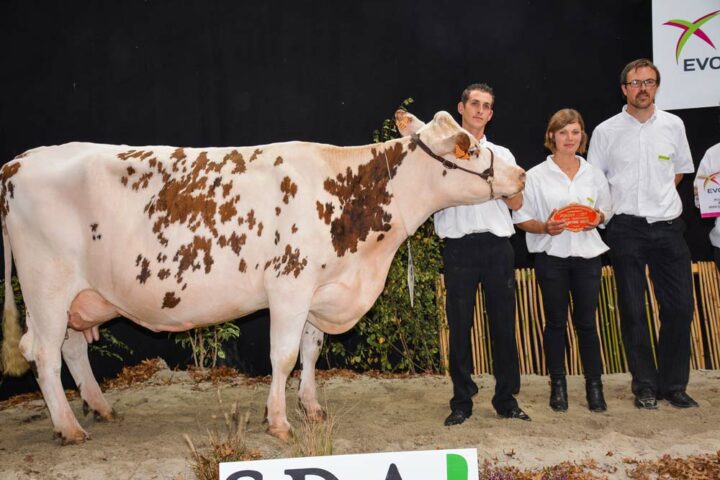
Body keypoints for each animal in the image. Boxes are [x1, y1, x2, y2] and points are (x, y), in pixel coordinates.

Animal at [0, 110, 524, 444]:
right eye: (472, 146)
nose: (519, 175)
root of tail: (20, 160)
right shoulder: (290, 284)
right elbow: (284, 355)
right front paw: (278, 422)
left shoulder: (319, 288)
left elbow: (311, 350)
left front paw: (311, 408)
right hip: (46, 285)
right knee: (43, 353)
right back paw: (69, 428)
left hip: (79, 294)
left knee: (70, 347)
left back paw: (100, 408)